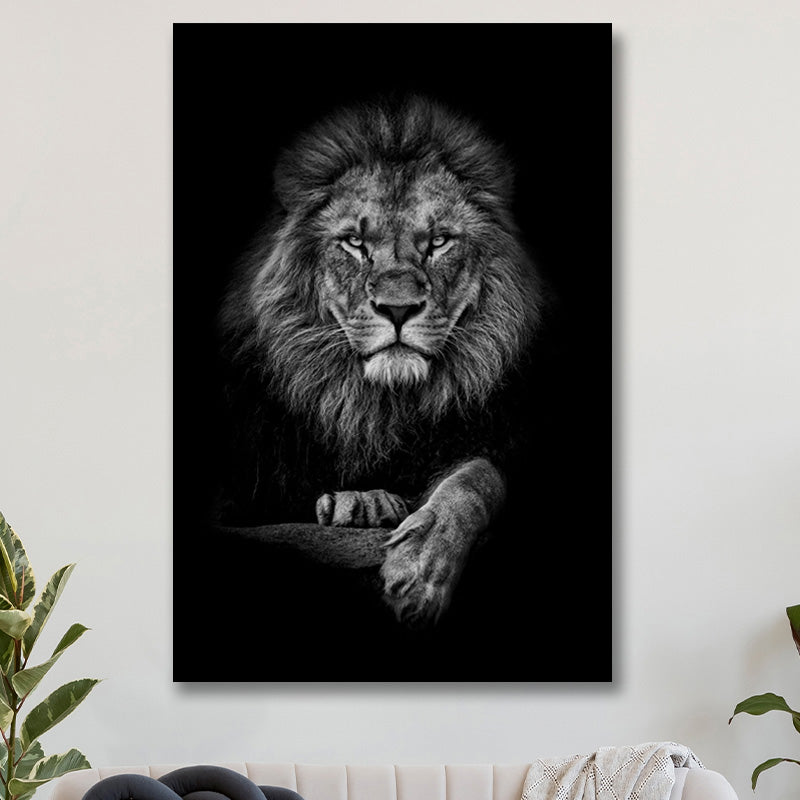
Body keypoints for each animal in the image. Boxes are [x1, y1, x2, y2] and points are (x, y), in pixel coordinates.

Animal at [214, 94, 547, 628]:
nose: (397, 308)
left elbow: (476, 478)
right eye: (354, 243)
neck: (381, 407)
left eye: (438, 241)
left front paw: (420, 568)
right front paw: (362, 502)